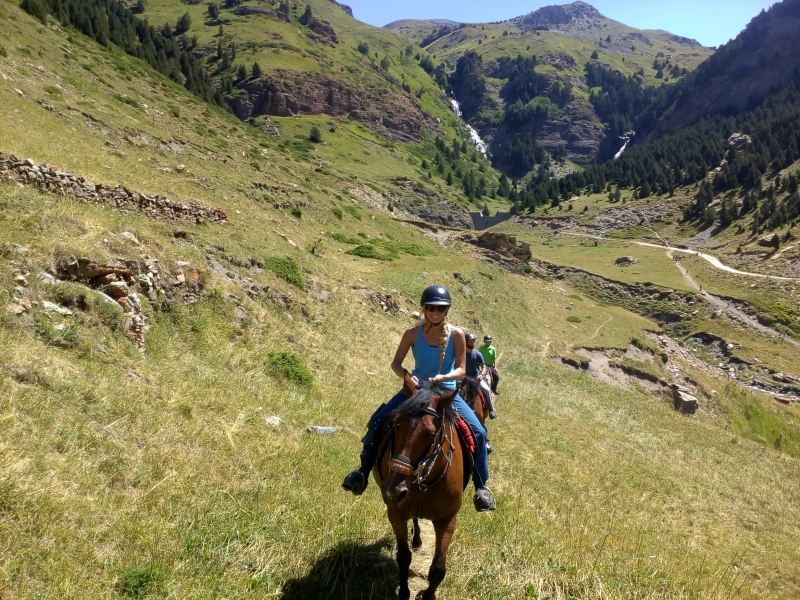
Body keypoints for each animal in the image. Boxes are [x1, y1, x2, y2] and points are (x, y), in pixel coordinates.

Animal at [376, 380, 468, 600]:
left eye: (431, 435)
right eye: (396, 424)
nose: (392, 491)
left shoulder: (447, 519)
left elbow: (438, 569)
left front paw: (428, 595)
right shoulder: (395, 513)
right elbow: (403, 557)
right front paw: (404, 592)